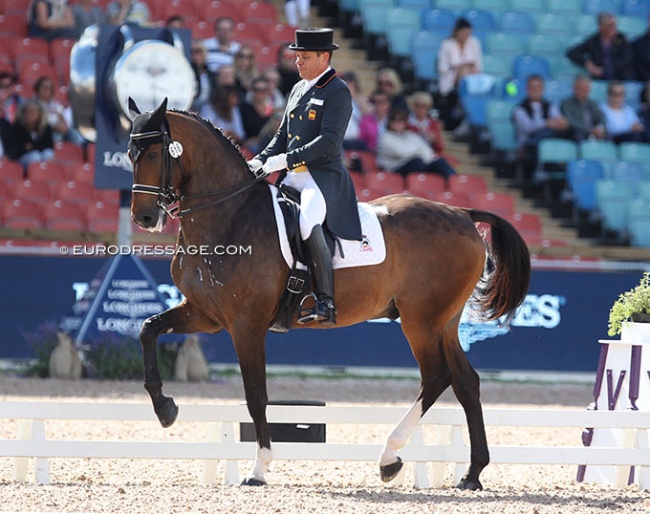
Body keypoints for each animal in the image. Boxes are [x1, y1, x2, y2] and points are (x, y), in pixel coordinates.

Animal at [128, 99, 532, 488]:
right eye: (130, 154)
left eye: (153, 154)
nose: (144, 218)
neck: (229, 215)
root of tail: (461, 212)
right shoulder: (205, 315)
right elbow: (148, 329)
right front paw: (165, 408)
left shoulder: (246, 326)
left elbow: (256, 395)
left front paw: (259, 469)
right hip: (444, 322)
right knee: (466, 382)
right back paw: (472, 474)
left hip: (421, 320)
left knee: (436, 376)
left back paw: (390, 457)